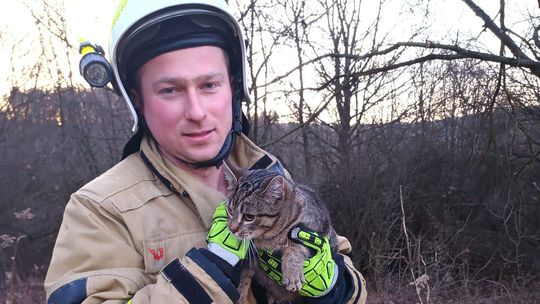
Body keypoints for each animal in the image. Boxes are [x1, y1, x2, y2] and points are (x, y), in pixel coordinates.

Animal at [224, 165, 338, 304]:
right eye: (230, 210)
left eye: (249, 217)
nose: (231, 228)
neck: (269, 236)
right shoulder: (250, 260)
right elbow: (245, 276)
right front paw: (241, 294)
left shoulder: (317, 231)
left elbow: (295, 247)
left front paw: (292, 272)